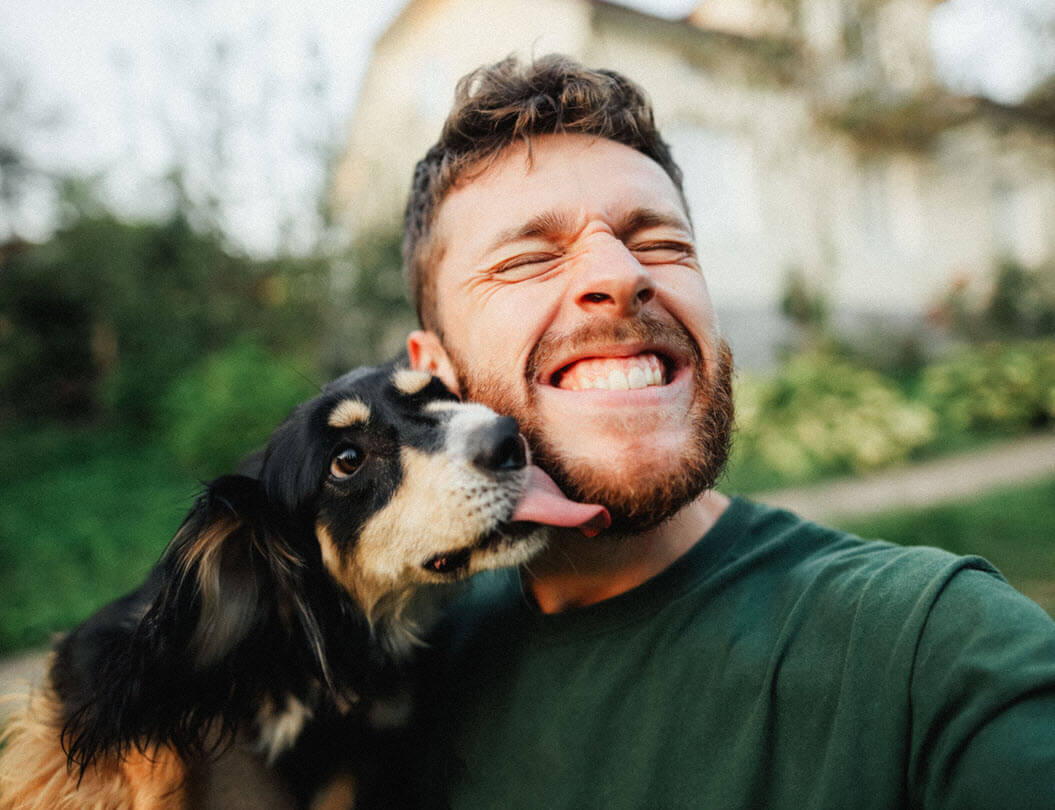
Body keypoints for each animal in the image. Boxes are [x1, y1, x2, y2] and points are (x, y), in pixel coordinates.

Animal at [0, 362, 607, 810]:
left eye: (444, 394)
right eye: (347, 460)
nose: (510, 438)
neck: (304, 648)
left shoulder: (360, 755)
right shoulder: (95, 654)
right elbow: (150, 762)